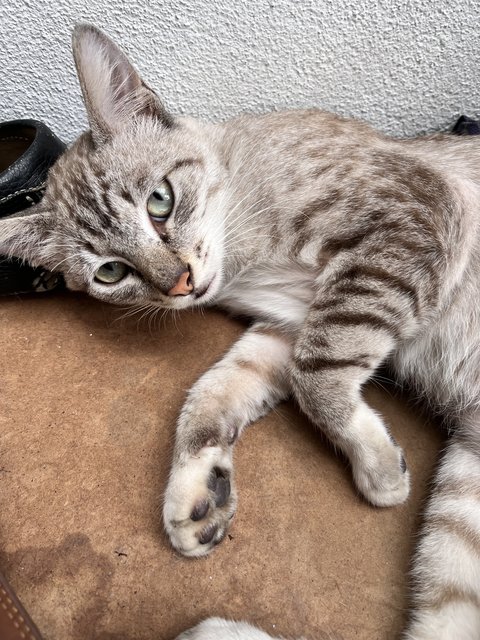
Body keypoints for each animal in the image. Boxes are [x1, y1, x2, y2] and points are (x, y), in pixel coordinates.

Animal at [0, 21, 480, 640]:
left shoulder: (408, 220)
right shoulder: (287, 323)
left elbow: (316, 379)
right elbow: (214, 392)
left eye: (160, 201)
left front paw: (378, 468)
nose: (179, 285)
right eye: (110, 272)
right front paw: (196, 492)